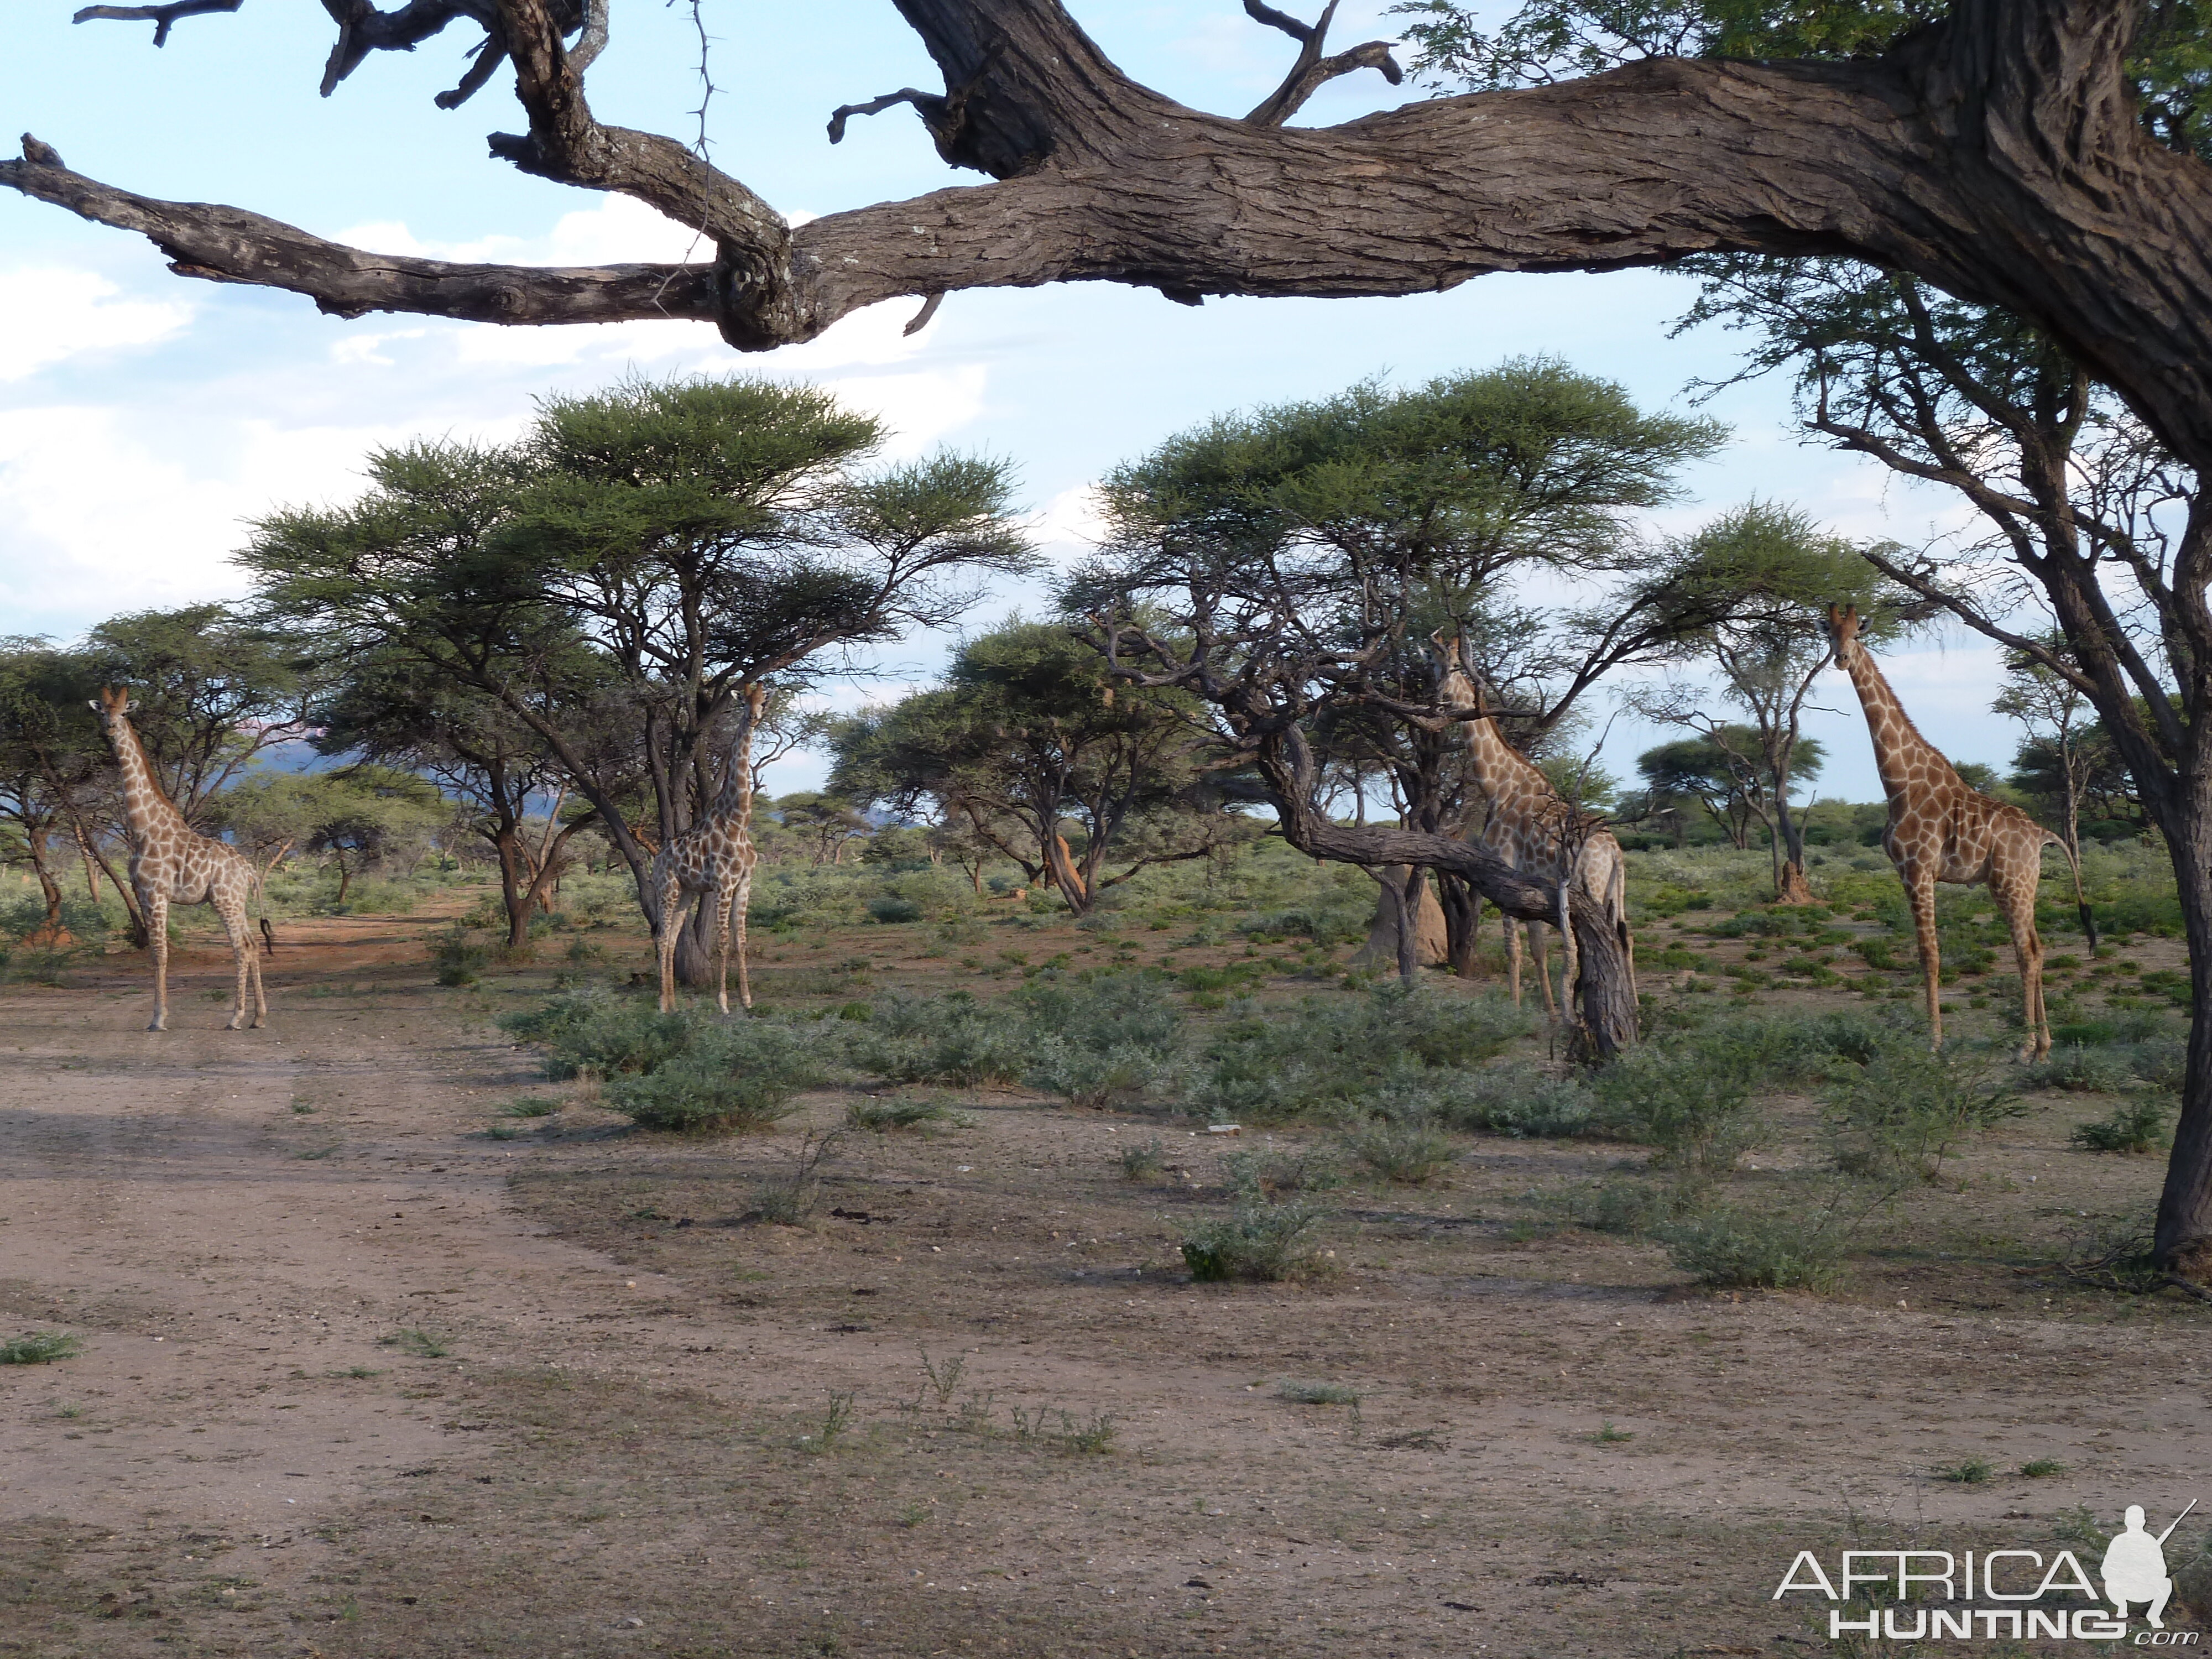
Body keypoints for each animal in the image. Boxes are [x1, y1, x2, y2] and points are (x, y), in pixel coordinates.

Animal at [89, 686, 268, 1026]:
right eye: (102, 712)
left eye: (124, 712)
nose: (110, 729)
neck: (143, 829)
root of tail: (248, 869)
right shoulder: (143, 894)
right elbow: (154, 954)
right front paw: (158, 1016)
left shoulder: (157, 893)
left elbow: (161, 954)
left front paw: (158, 1019)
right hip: (236, 901)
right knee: (252, 945)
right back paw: (258, 1017)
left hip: (225, 900)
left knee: (241, 947)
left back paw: (236, 1017)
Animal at [650, 681, 765, 1022]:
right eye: (744, 701)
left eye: (764, 701)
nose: (753, 718)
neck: (738, 821)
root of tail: (657, 858)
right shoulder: (723, 884)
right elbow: (724, 942)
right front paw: (724, 1003)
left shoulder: (745, 882)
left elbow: (742, 940)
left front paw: (747, 1000)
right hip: (667, 888)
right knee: (661, 938)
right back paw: (661, 1005)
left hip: (686, 892)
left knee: (672, 940)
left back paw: (673, 1005)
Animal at [1425, 641, 1637, 1022]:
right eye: (1433, 663)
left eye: (1453, 665)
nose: (1438, 696)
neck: (1498, 787)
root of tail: (1615, 850)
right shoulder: (1529, 879)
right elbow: (1537, 945)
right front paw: (1551, 1011)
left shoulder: (1505, 867)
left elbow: (1513, 945)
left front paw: (1513, 1008)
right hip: (1615, 887)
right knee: (1625, 937)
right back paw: (1635, 1010)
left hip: (1594, 884)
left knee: (1609, 939)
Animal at [1823, 606, 2097, 1057]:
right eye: (1829, 633)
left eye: (1857, 634)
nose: (1842, 659)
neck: (1900, 783)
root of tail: (2043, 834)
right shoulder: (1906, 872)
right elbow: (1927, 954)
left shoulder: (1918, 870)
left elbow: (1929, 955)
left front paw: (1933, 1042)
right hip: (2022, 884)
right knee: (2039, 948)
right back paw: (2045, 1043)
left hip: (2009, 884)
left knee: (2026, 953)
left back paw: (2025, 1047)